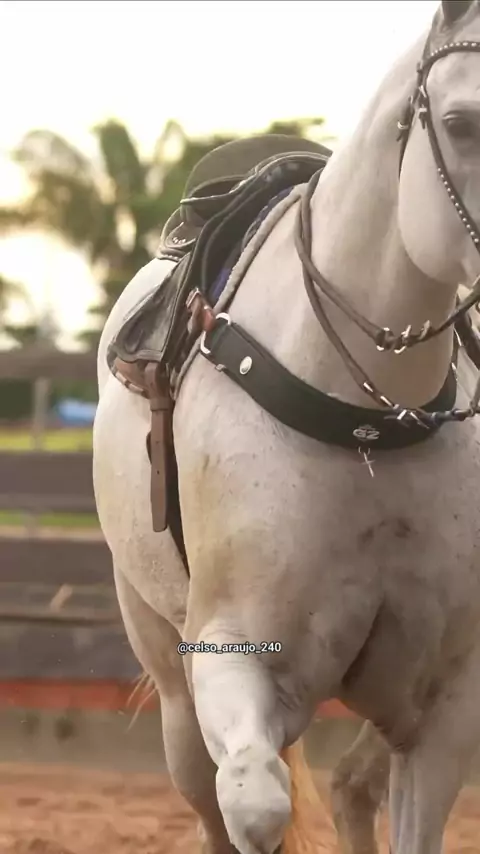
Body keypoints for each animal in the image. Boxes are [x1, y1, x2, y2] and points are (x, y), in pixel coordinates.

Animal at [93, 2, 480, 852]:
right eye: (462, 123)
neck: (370, 425)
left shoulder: (443, 705)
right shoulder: (234, 660)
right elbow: (257, 802)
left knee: (352, 784)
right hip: (174, 697)